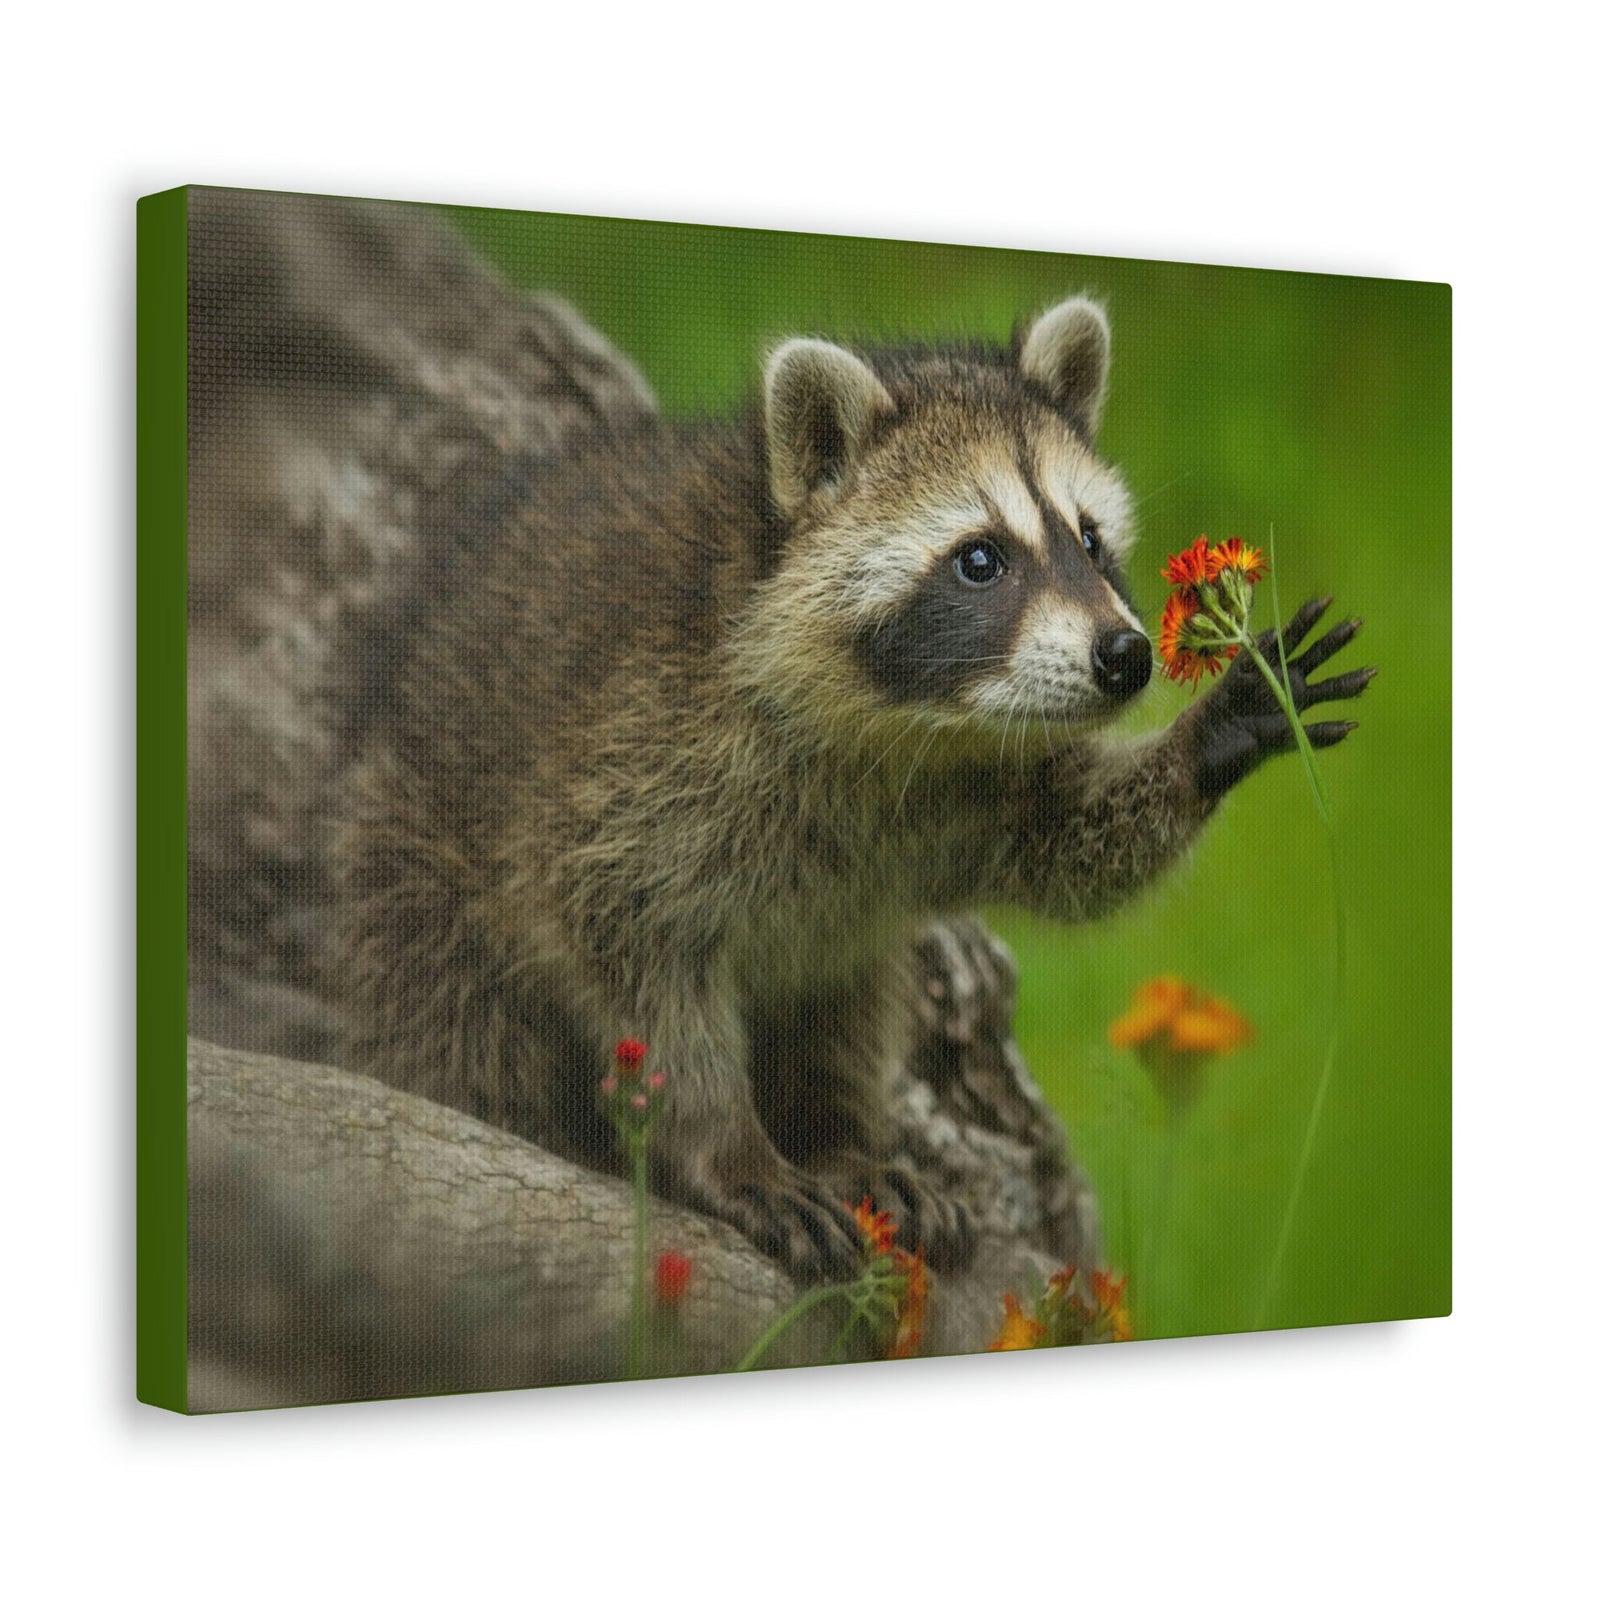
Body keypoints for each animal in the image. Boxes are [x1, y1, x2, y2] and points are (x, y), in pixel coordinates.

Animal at [330, 297, 1371, 1280]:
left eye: (1089, 540)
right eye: (980, 558)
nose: (1125, 657)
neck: (899, 727)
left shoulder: (961, 789)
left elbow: (1067, 845)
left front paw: (1215, 733)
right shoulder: (629, 764)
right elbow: (639, 964)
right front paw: (725, 1146)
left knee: (850, 998)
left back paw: (837, 1136)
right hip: (409, 874)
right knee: (459, 1031)